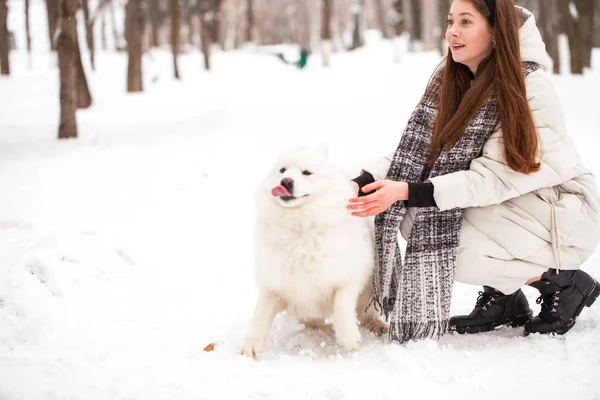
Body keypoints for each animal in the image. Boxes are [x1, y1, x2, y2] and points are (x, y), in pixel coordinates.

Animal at [240, 144, 386, 356]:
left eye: (307, 172)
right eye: (282, 170)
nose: (285, 181)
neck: (300, 223)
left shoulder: (353, 273)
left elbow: (341, 304)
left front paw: (348, 338)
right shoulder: (274, 283)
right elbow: (260, 315)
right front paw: (250, 345)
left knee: (367, 313)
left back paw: (376, 325)